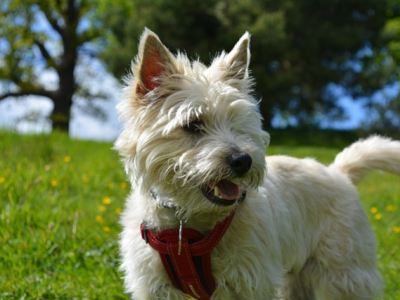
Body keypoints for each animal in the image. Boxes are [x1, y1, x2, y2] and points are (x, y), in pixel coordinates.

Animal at [114, 28, 400, 300]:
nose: (243, 161)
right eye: (193, 124)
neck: (188, 225)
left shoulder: (250, 281)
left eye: (238, 121)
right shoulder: (156, 286)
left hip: (345, 271)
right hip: (298, 278)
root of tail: (338, 172)